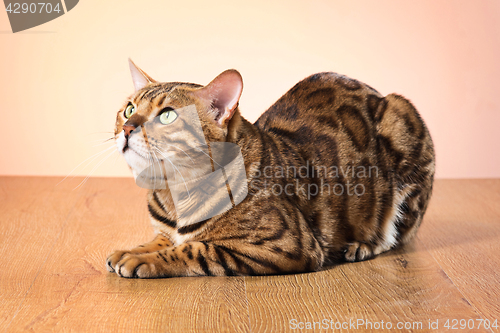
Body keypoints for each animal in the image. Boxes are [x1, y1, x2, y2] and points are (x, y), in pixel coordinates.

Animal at [105, 59, 434, 278]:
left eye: (168, 116)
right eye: (129, 109)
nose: (128, 128)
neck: (173, 195)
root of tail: (377, 92)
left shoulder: (288, 246)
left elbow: (196, 248)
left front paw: (143, 260)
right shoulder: (164, 230)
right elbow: (158, 240)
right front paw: (132, 250)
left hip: (402, 121)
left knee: (395, 235)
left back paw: (362, 244)